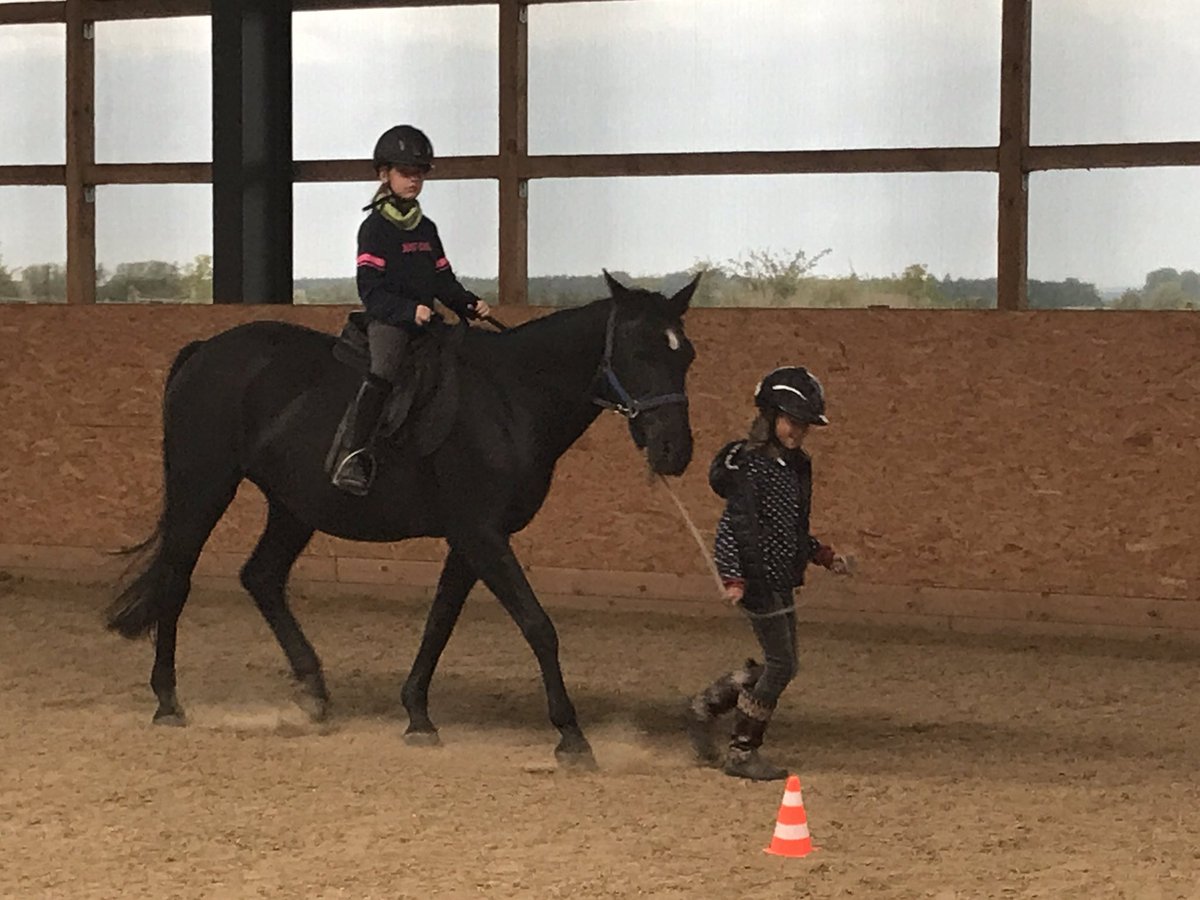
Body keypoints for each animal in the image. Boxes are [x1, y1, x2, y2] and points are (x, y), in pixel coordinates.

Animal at [105, 271, 699, 767]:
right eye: (639, 350)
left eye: (686, 355)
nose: (676, 452)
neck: (511, 398)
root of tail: (204, 351)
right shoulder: (482, 535)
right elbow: (538, 625)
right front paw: (571, 735)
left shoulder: (471, 538)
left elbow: (440, 622)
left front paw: (417, 714)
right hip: (203, 487)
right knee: (177, 579)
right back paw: (168, 701)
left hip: (294, 507)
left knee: (262, 577)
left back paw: (314, 695)